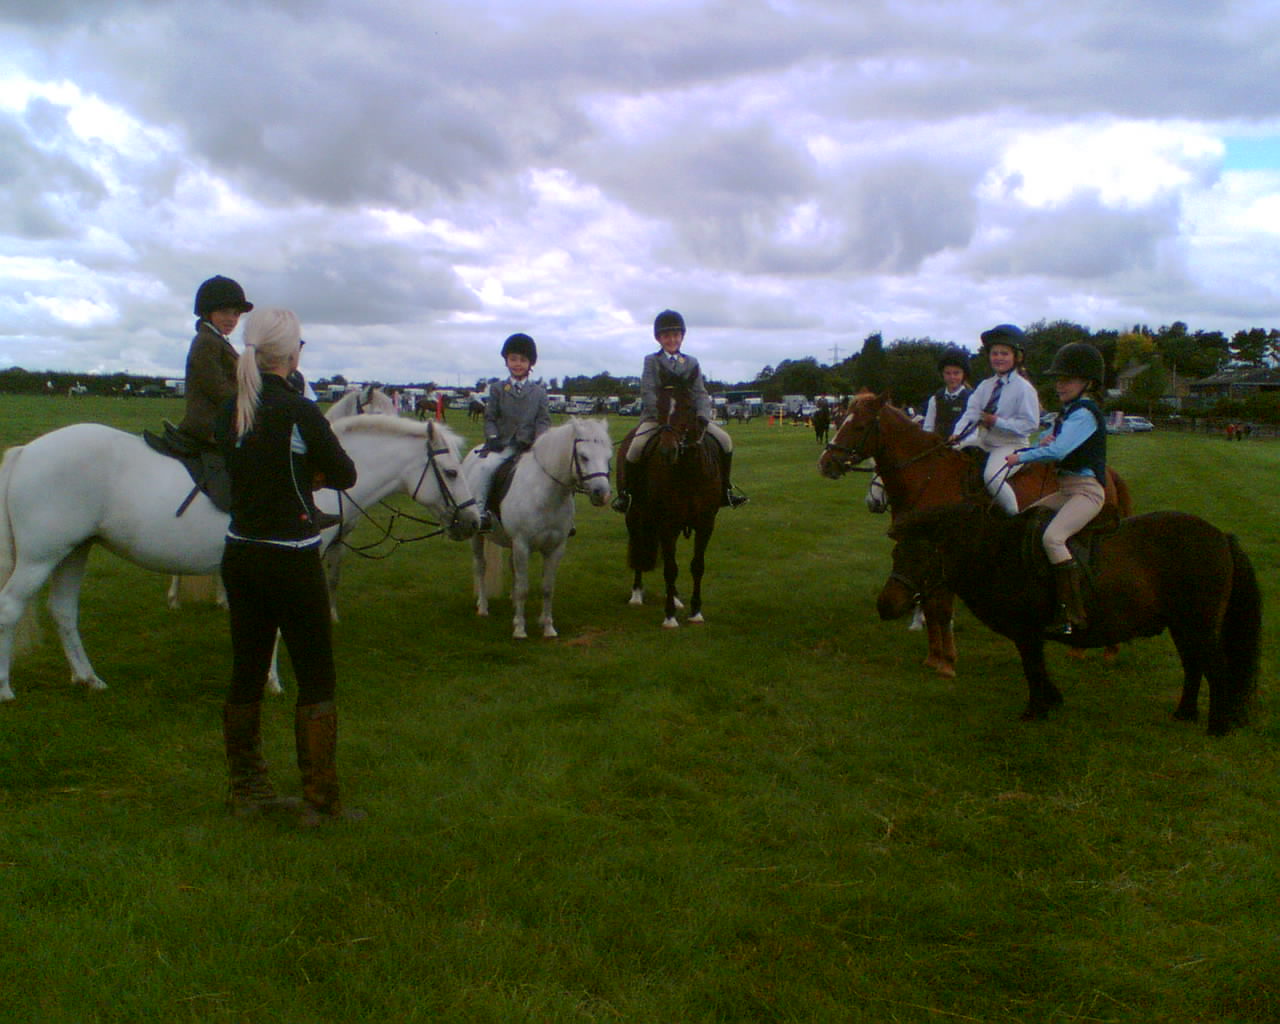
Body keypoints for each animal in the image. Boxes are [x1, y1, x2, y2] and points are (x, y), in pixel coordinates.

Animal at [0, 416, 479, 702]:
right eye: (452, 472)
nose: (475, 521)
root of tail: (27, 451)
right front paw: (275, 682)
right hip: (42, 557)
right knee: (10, 608)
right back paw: (6, 690)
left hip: (73, 551)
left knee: (64, 611)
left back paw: (89, 679)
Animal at [462, 418, 613, 639]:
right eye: (584, 456)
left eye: (608, 456)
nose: (602, 494)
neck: (545, 495)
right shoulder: (522, 545)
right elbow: (524, 588)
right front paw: (519, 629)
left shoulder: (555, 548)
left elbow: (547, 588)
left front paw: (548, 627)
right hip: (478, 536)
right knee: (480, 566)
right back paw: (483, 606)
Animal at [618, 380, 723, 627]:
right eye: (659, 407)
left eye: (688, 408)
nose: (668, 451)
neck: (689, 472)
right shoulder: (667, 524)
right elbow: (669, 568)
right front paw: (669, 617)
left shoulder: (705, 524)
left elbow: (697, 566)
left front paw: (695, 612)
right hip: (635, 515)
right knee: (639, 547)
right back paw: (636, 594)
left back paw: (674, 597)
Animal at [818, 392, 1133, 678]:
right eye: (840, 420)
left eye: (859, 426)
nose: (826, 462)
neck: (929, 477)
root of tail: (1108, 472)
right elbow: (932, 607)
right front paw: (934, 657)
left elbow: (941, 609)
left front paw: (946, 662)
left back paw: (1101, 648)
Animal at [877, 503, 1260, 735]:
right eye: (896, 553)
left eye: (922, 557)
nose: (884, 605)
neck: (1000, 554)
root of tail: (1220, 537)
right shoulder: (1029, 634)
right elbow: (1039, 669)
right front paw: (1053, 700)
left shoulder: (1027, 632)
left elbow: (1033, 669)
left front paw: (1035, 710)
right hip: (1183, 627)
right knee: (1194, 667)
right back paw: (1185, 713)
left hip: (1199, 626)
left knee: (1216, 670)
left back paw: (1217, 727)